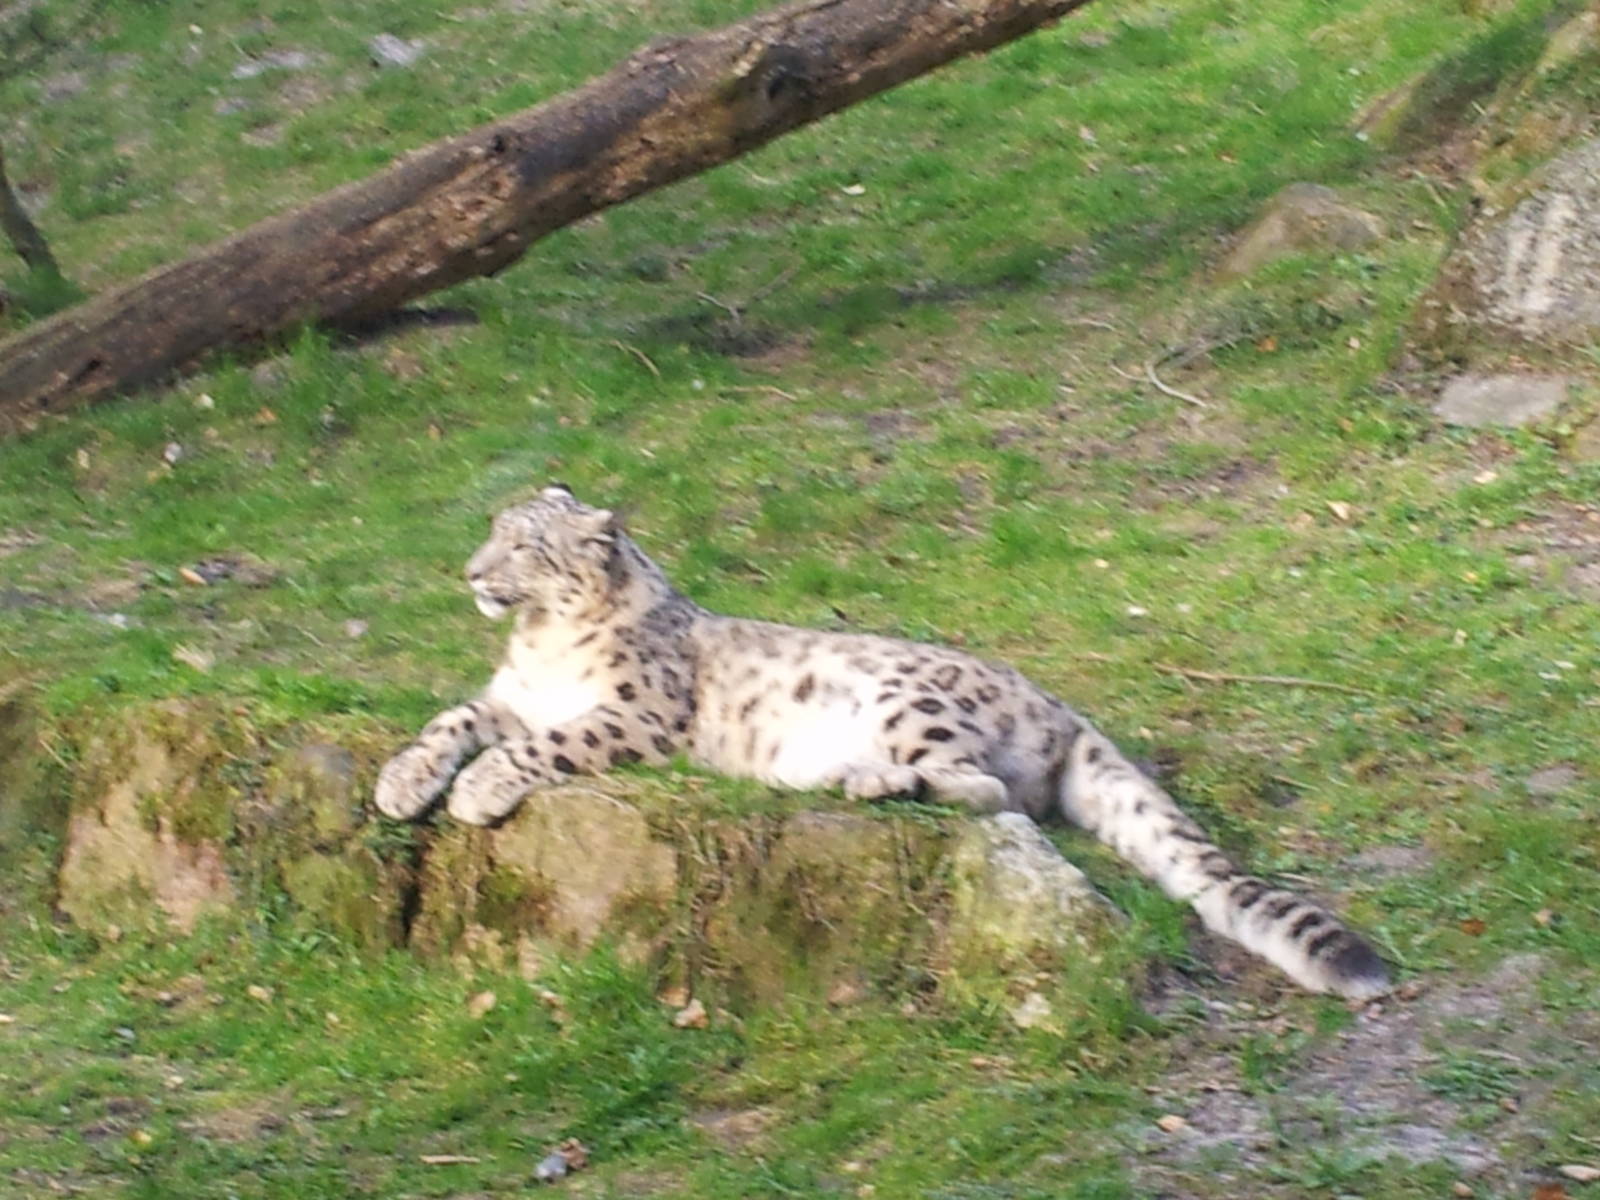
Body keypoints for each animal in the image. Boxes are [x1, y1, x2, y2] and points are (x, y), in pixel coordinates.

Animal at [375, 484, 1390, 999]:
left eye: (526, 547)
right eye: (494, 531)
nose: (471, 572)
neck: (540, 644)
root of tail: (1056, 706)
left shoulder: (635, 715)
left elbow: (544, 747)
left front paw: (479, 790)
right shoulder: (509, 698)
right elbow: (454, 719)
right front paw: (402, 781)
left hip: (915, 704)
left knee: (987, 790)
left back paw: (865, 781)